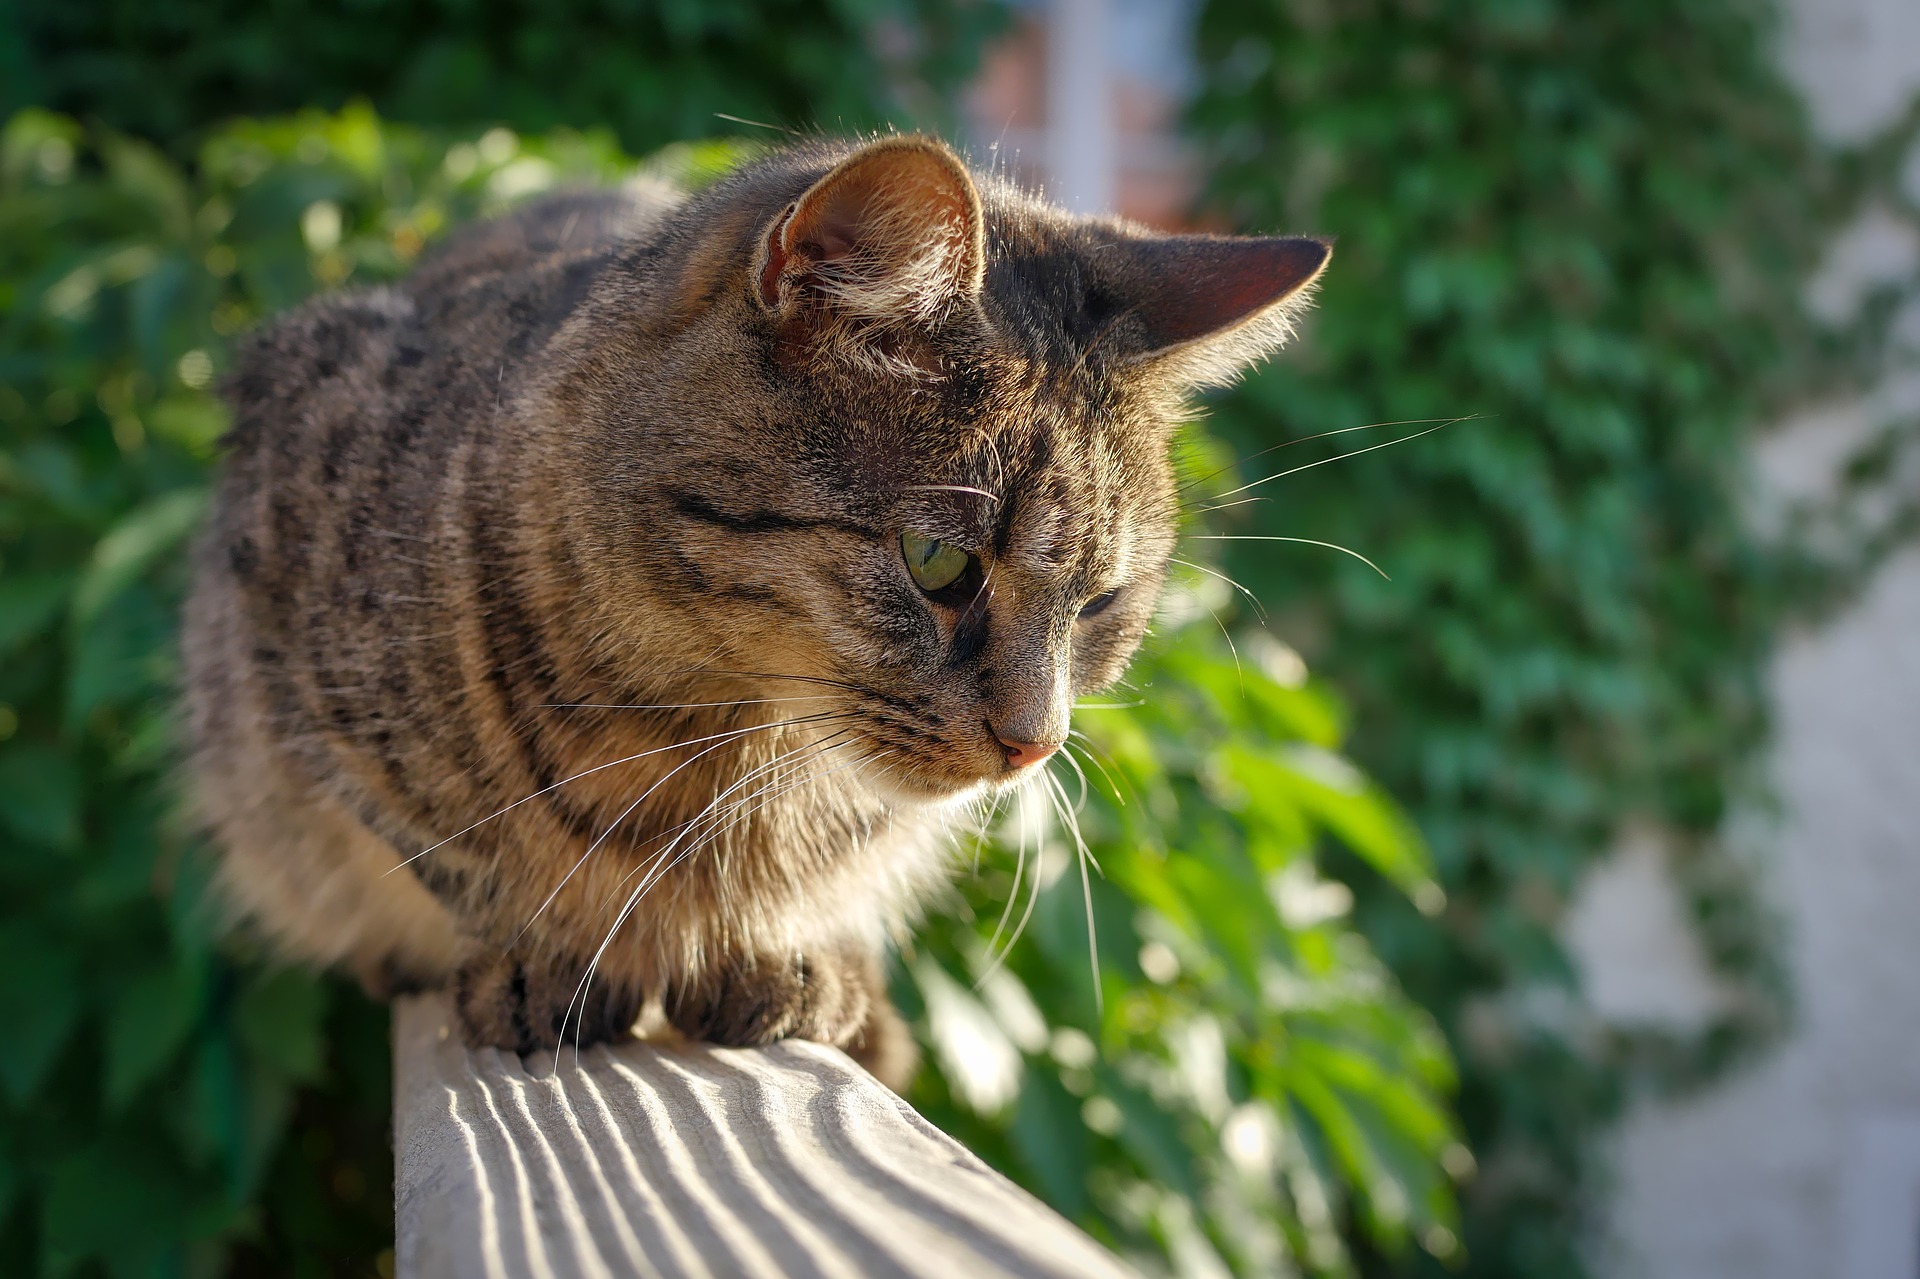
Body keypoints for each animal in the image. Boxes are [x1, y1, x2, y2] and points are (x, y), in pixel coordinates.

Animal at [180, 134, 1328, 1083]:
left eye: (1100, 603)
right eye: (939, 563)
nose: (1035, 744)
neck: (725, 737)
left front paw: (779, 957)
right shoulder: (294, 666)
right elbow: (453, 857)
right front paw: (545, 955)